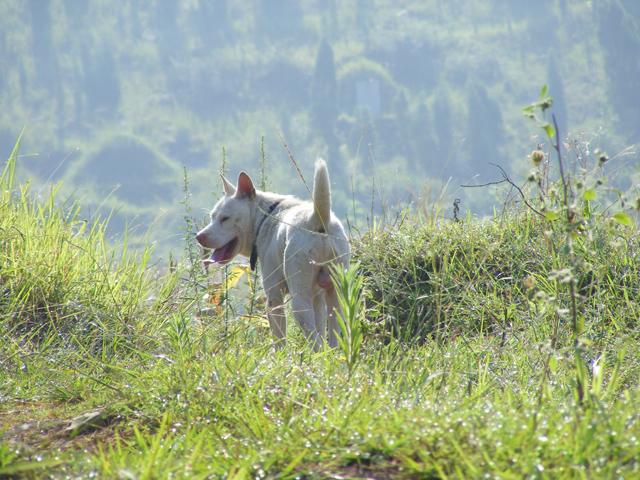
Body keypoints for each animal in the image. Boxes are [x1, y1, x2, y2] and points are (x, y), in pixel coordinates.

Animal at [199, 159, 352, 350]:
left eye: (225, 218)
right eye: (212, 216)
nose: (199, 236)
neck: (266, 216)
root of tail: (317, 219)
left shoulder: (274, 298)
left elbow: (279, 338)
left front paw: (279, 355)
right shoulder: (317, 298)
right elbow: (321, 327)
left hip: (300, 300)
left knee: (314, 341)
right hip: (337, 296)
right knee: (332, 336)